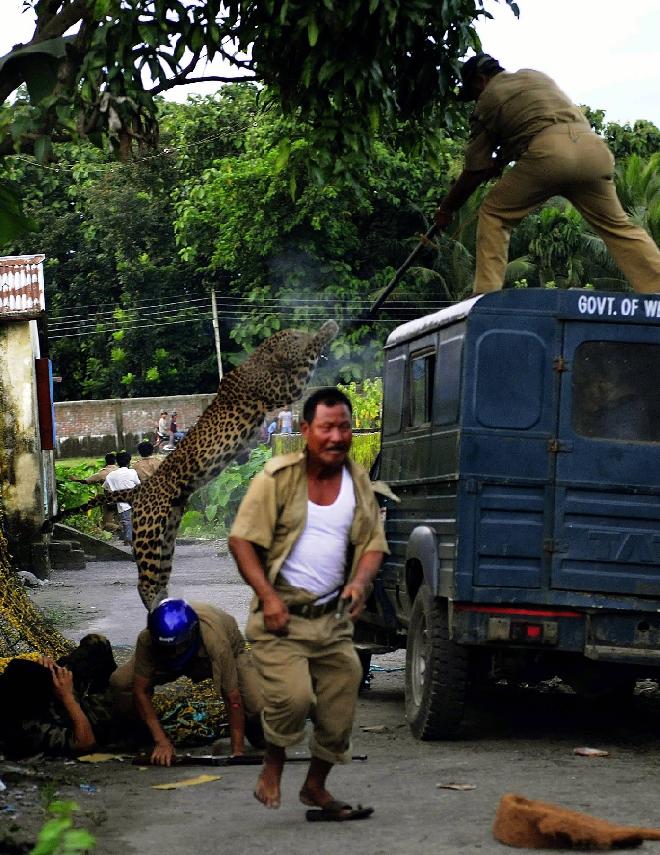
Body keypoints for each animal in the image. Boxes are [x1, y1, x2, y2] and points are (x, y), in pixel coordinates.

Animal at [44, 321, 338, 609]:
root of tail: (139, 490)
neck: (260, 361)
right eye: (295, 337)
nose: (304, 332)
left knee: (158, 575)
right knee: (144, 581)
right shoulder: (283, 388)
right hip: (149, 534)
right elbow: (306, 359)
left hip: (166, 537)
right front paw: (328, 328)